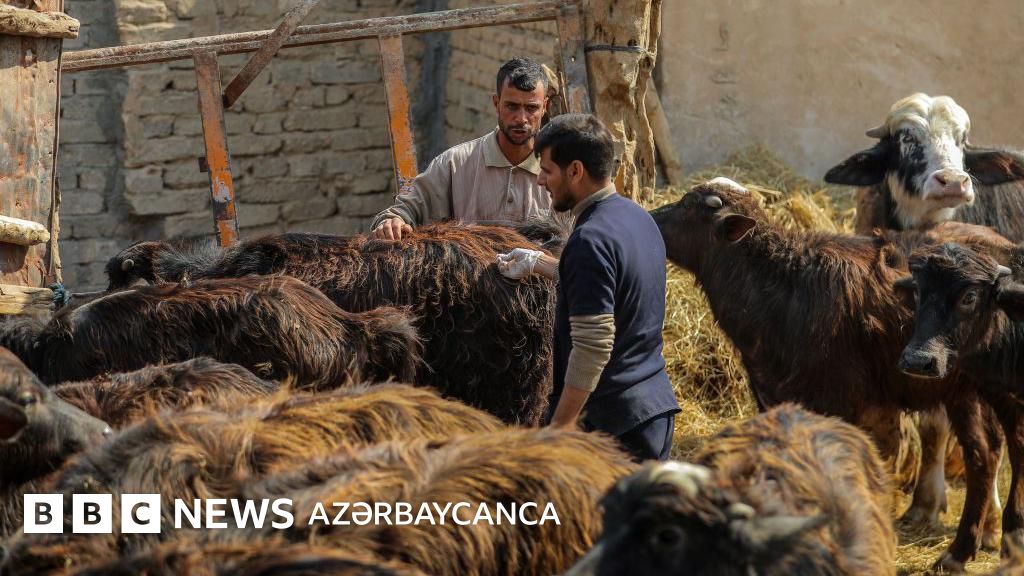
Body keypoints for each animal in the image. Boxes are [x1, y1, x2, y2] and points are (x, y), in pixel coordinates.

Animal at [649, 177, 1004, 570]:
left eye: (689, 205)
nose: (649, 217)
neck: (781, 285)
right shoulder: (775, 396)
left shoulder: (838, 399)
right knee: (991, 449)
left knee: (982, 454)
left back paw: (960, 550)